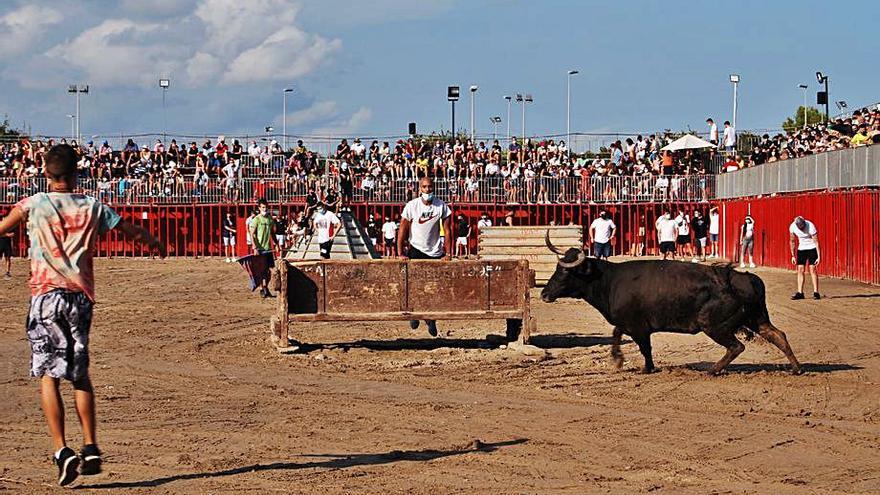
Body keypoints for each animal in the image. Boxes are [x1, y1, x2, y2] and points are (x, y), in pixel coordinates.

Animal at [540, 234, 800, 374]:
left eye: (565, 272)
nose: (544, 294)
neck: (608, 280)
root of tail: (745, 278)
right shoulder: (629, 323)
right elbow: (616, 334)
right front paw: (618, 359)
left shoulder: (638, 327)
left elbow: (644, 347)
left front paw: (645, 367)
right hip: (756, 318)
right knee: (778, 335)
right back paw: (796, 368)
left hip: (713, 324)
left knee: (736, 347)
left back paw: (712, 370)